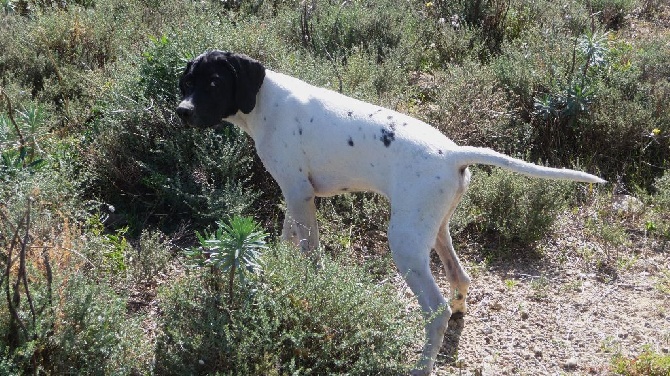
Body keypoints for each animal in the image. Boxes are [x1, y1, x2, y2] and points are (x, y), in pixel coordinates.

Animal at [176, 50, 608, 376]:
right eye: (187, 83)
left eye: (213, 83)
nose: (181, 111)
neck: (265, 102)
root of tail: (453, 153)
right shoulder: (295, 196)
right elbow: (286, 241)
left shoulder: (300, 195)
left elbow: (311, 255)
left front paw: (310, 290)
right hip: (432, 231)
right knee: (460, 278)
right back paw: (456, 316)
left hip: (404, 244)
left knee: (434, 309)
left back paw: (421, 365)